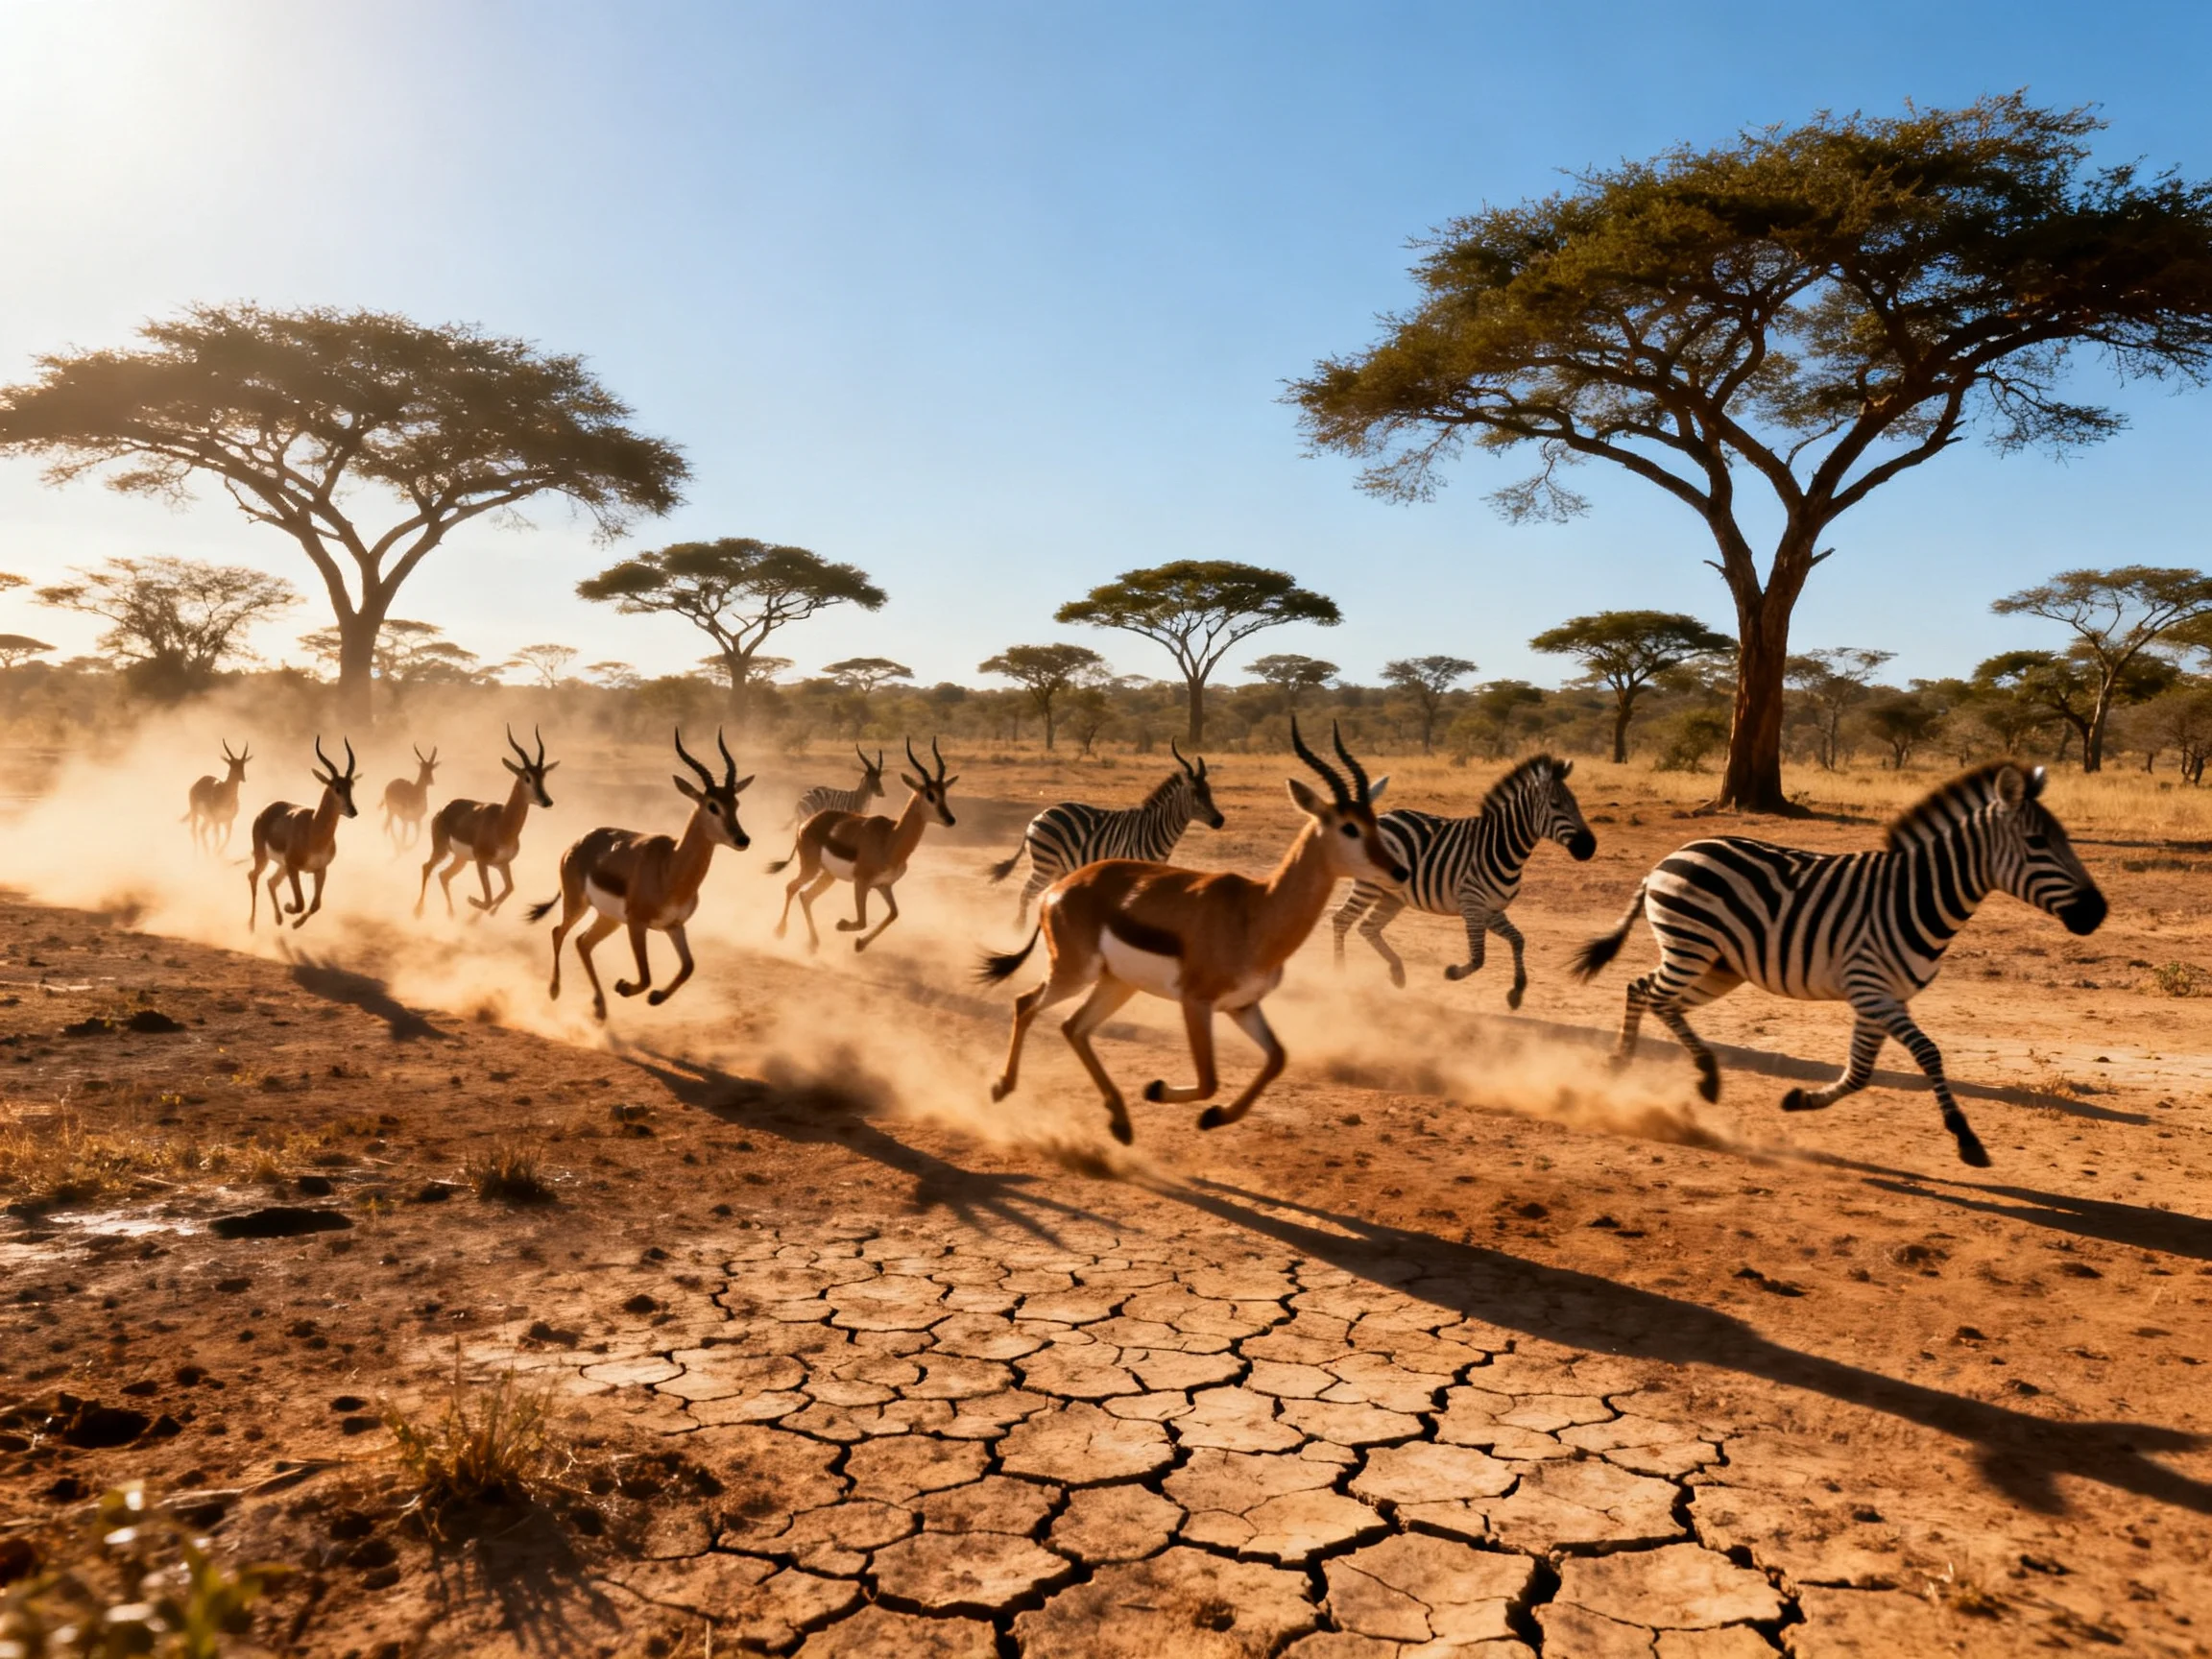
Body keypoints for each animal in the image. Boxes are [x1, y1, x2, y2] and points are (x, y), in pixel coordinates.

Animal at [987, 742, 1225, 926]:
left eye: (1209, 792)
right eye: (1195, 794)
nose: (1219, 820)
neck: (1156, 829)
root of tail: (1039, 816)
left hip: (1059, 867)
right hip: (1046, 864)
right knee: (1026, 893)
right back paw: (1018, 931)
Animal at [1332, 754, 1595, 1005]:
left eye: (1576, 803)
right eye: (1555, 805)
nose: (1590, 847)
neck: (1501, 848)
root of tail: (1379, 817)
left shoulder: (1492, 909)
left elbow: (1518, 940)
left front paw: (1517, 992)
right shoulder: (1472, 905)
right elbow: (1479, 958)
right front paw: (1452, 972)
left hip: (1393, 896)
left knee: (1368, 927)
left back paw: (1397, 973)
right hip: (1369, 885)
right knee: (1341, 920)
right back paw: (1339, 975)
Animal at [1572, 761, 2106, 1167]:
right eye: (2037, 843)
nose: (2098, 913)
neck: (1919, 896)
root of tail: (1668, 858)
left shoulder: (1882, 997)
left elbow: (1861, 1072)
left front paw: (1800, 1100)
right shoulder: (1871, 988)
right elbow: (1929, 1053)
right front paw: (1967, 1140)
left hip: (1719, 965)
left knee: (1653, 995)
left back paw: (1690, 1073)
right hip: (1692, 947)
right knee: (1647, 991)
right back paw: (1641, 1064)